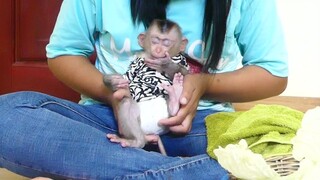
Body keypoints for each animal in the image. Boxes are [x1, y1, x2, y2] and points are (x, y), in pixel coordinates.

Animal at [104, 19, 189, 155]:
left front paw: (166, 63)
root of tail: (150, 133)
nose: (158, 50)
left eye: (166, 43)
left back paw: (174, 99)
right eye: (154, 40)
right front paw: (114, 81)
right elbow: (125, 78)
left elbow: (186, 74)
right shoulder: (135, 63)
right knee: (127, 104)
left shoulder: (181, 60)